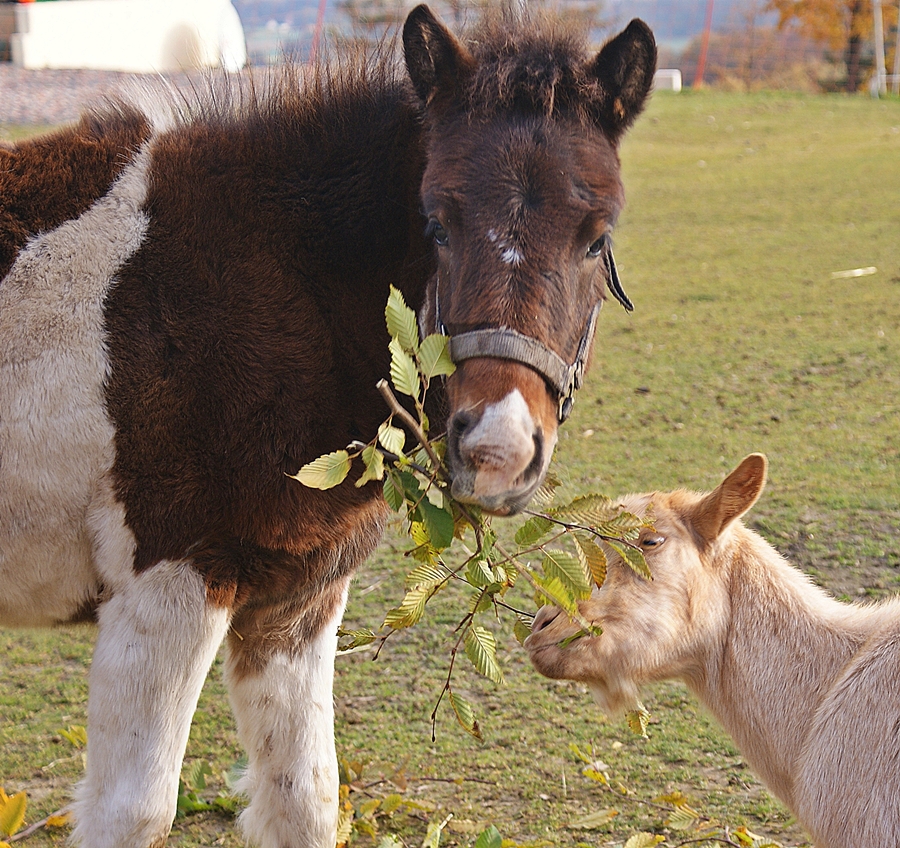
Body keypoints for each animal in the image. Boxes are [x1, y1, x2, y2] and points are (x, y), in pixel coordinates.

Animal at [0, 8, 656, 848]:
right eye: (435, 223)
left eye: (597, 236)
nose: (497, 451)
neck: (264, 285)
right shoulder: (167, 582)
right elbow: (134, 809)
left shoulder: (295, 601)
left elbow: (305, 798)